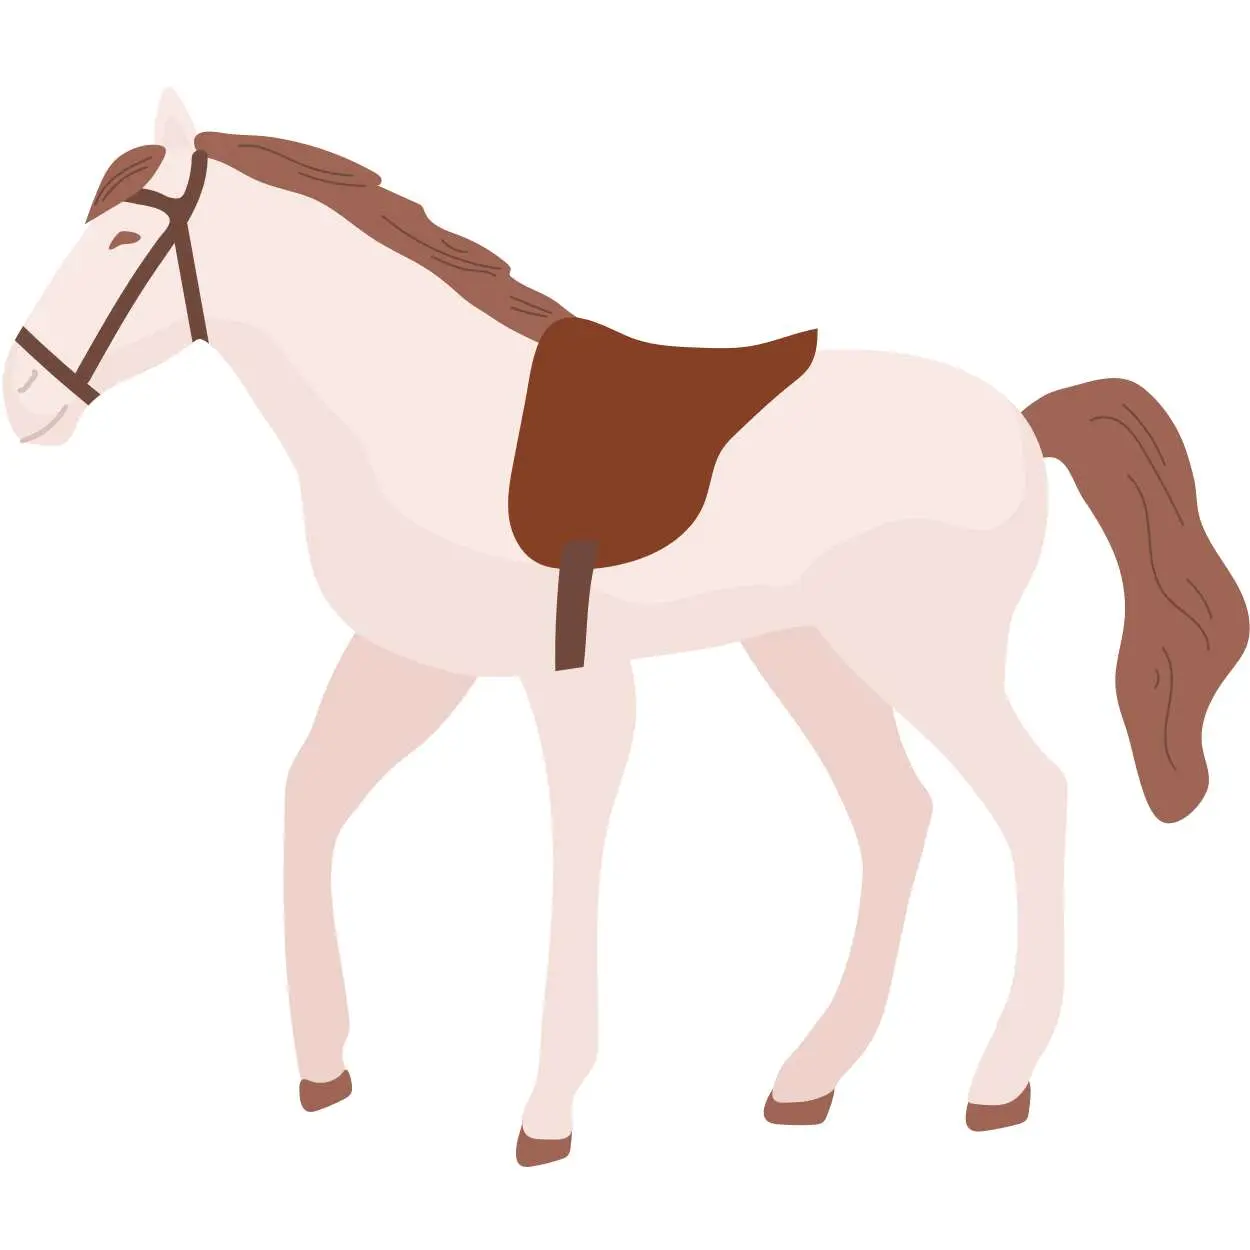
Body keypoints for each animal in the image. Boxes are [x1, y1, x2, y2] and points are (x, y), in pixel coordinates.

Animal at [5, 89, 1246, 1167]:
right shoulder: (412, 659)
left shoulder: (568, 678)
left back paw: (996, 1083)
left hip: (923, 655)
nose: (24, 398)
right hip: (809, 652)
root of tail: (1021, 421)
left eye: (125, 238)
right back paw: (809, 1078)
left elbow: (571, 851)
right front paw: (324, 1067)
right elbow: (308, 798)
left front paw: (546, 1111)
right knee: (896, 814)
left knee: (1032, 796)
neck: (419, 408)